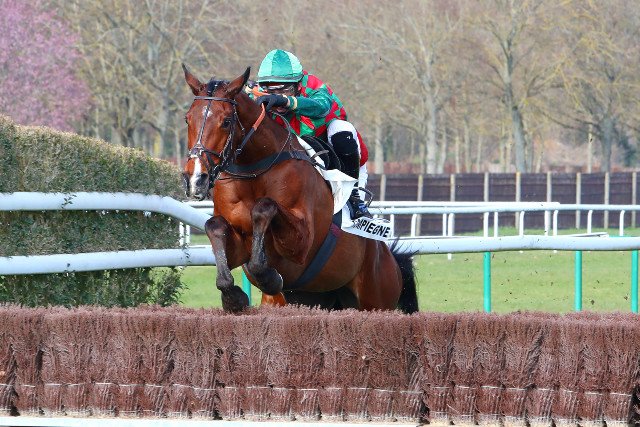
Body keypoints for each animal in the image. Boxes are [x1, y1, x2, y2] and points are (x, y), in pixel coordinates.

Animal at [182, 65, 418, 313]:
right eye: (188, 119)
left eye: (226, 121)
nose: (196, 178)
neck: (255, 169)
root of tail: (387, 254)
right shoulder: (239, 244)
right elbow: (214, 226)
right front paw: (233, 297)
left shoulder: (301, 244)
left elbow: (264, 208)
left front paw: (268, 277)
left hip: (377, 296)